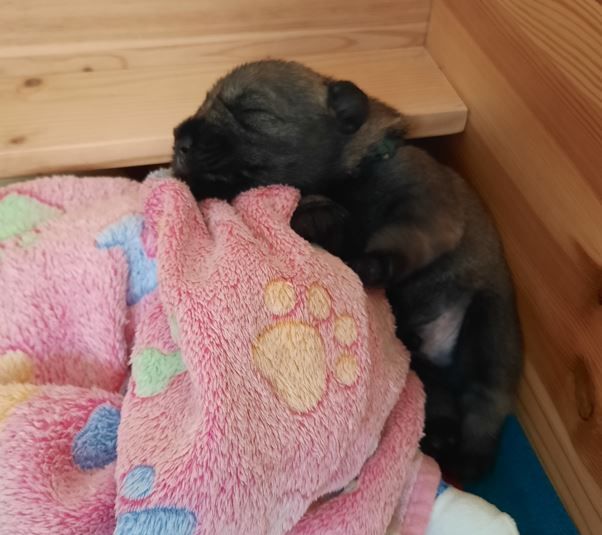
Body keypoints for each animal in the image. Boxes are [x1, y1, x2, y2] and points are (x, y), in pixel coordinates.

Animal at [172, 60, 523, 481]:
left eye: (252, 111)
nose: (180, 140)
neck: (352, 174)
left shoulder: (426, 205)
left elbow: (402, 237)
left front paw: (372, 263)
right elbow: (326, 217)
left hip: (490, 329)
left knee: (486, 398)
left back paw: (472, 456)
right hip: (422, 364)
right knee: (439, 396)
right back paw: (439, 432)